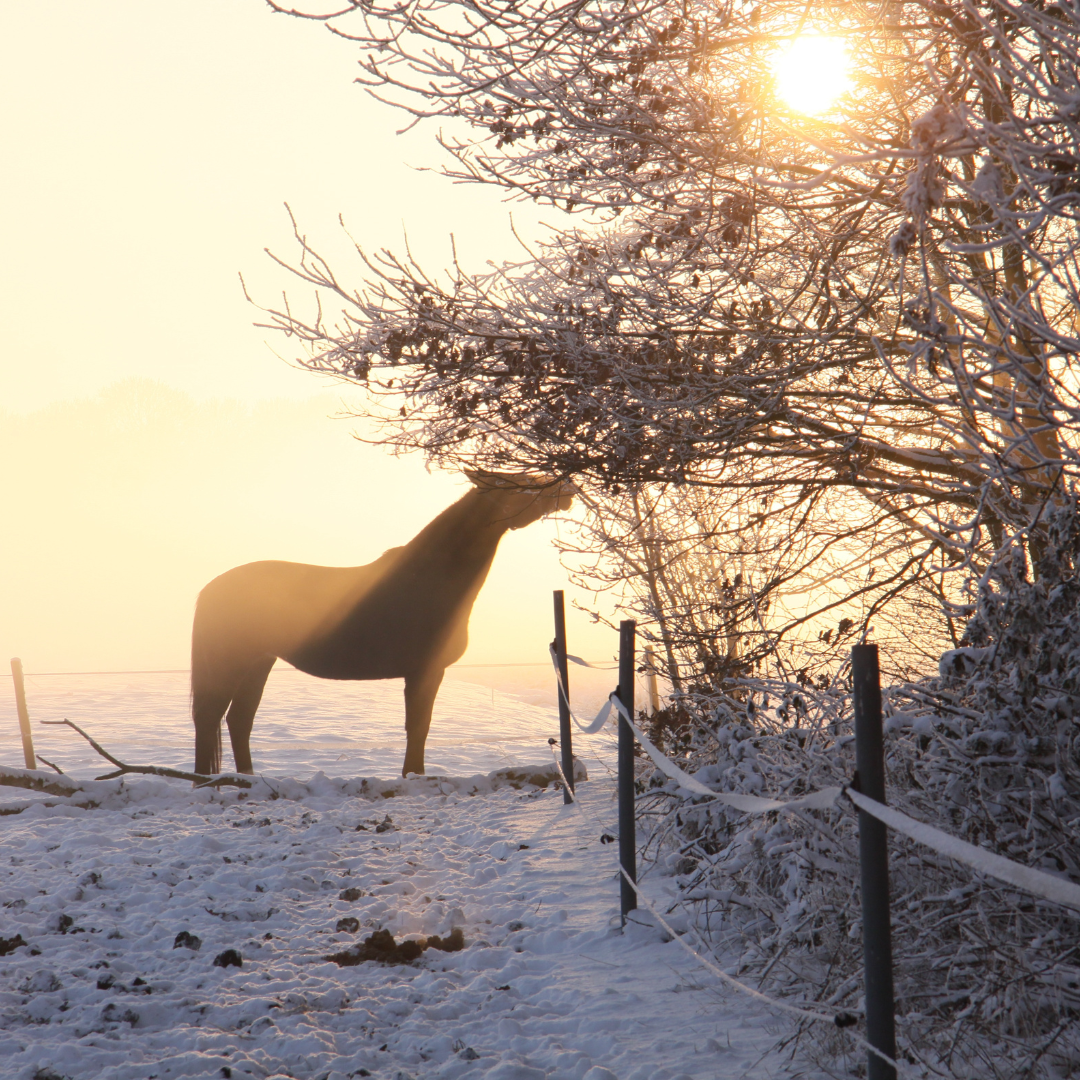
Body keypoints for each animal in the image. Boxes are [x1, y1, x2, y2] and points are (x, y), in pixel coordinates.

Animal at [190, 471, 574, 778]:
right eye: (522, 482)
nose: (567, 489)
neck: (431, 577)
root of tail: (209, 589)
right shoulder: (425, 671)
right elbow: (418, 727)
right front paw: (413, 776)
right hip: (232, 664)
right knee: (208, 719)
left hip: (259, 662)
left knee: (238, 721)